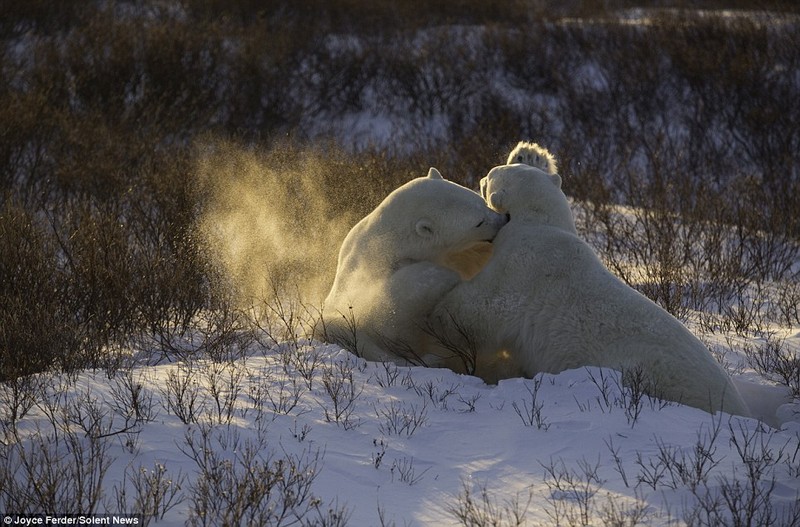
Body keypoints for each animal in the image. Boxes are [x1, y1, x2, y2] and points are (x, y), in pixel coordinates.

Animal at [318, 169, 506, 368]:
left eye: (482, 202)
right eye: (478, 223)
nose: (504, 218)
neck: (392, 241)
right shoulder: (375, 272)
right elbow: (392, 308)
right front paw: (448, 276)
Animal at [432, 162, 752, 416]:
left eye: (492, 175)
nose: (484, 174)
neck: (539, 221)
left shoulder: (523, 266)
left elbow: (482, 307)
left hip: (654, 374)